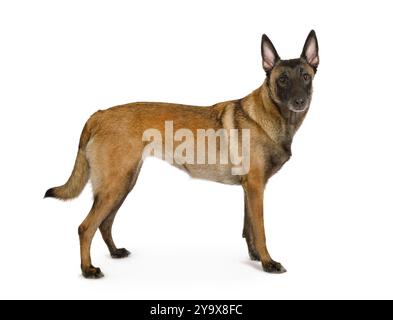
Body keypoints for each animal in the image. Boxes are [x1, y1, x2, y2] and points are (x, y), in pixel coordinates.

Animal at [45, 31, 318, 278]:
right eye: (282, 80)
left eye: (306, 76)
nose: (300, 101)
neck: (271, 114)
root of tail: (98, 115)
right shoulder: (255, 187)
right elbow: (260, 230)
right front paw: (268, 263)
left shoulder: (249, 189)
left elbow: (248, 227)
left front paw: (254, 257)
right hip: (115, 186)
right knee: (86, 227)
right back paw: (87, 269)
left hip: (123, 185)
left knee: (104, 223)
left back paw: (115, 252)